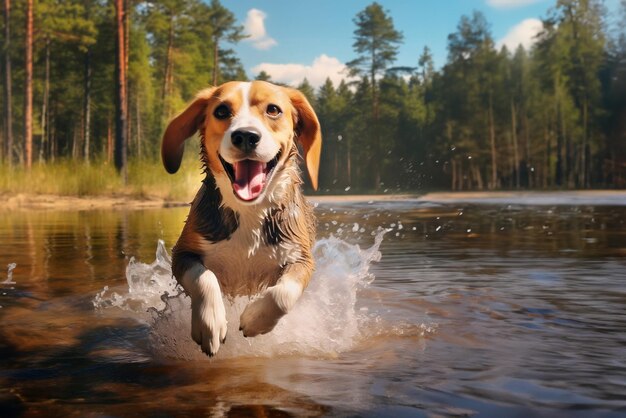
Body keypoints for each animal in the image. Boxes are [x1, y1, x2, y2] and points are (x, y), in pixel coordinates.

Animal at [161, 81, 322, 356]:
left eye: (273, 109)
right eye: (222, 111)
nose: (246, 136)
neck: (249, 210)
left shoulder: (300, 258)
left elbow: (282, 295)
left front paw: (256, 319)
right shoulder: (183, 253)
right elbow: (204, 278)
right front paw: (211, 322)